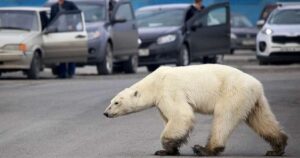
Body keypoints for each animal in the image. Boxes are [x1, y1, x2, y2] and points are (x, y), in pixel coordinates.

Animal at [103, 65, 288, 156]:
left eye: (116, 102)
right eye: (111, 101)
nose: (105, 113)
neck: (154, 82)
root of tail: (257, 84)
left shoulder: (169, 90)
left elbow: (181, 115)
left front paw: (165, 147)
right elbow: (170, 118)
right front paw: (169, 149)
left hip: (233, 92)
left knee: (223, 117)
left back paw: (205, 149)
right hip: (253, 99)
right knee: (261, 119)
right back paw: (276, 147)